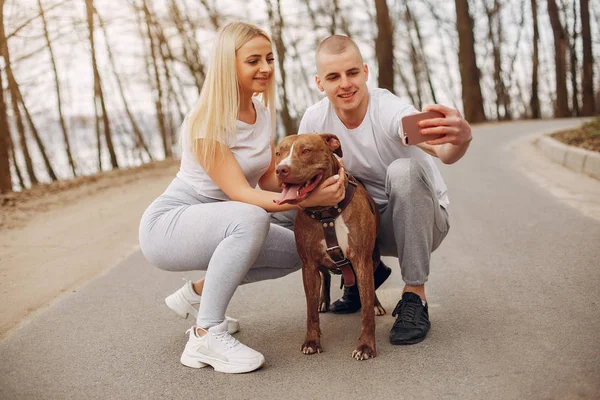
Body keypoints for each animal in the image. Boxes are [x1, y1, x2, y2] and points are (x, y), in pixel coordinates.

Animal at [276, 133, 384, 360]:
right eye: (278, 153)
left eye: (306, 150)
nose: (281, 169)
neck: (325, 213)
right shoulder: (308, 265)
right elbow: (310, 311)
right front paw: (311, 341)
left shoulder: (361, 261)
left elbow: (366, 308)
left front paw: (366, 346)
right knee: (325, 276)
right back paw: (323, 301)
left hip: (373, 257)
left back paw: (377, 305)